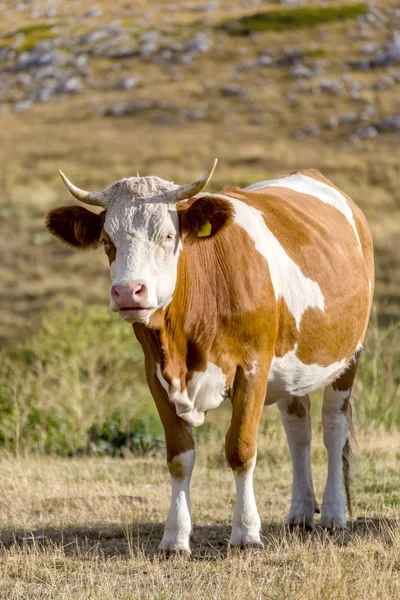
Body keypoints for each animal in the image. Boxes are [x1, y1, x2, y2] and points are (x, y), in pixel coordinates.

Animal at [47, 161, 376, 556]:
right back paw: (300, 512)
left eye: (167, 236)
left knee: (332, 429)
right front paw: (175, 537)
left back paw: (332, 514)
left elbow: (240, 449)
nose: (128, 291)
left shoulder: (253, 368)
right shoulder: (156, 375)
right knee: (299, 430)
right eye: (108, 241)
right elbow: (179, 457)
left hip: (348, 357)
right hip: (292, 370)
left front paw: (246, 532)